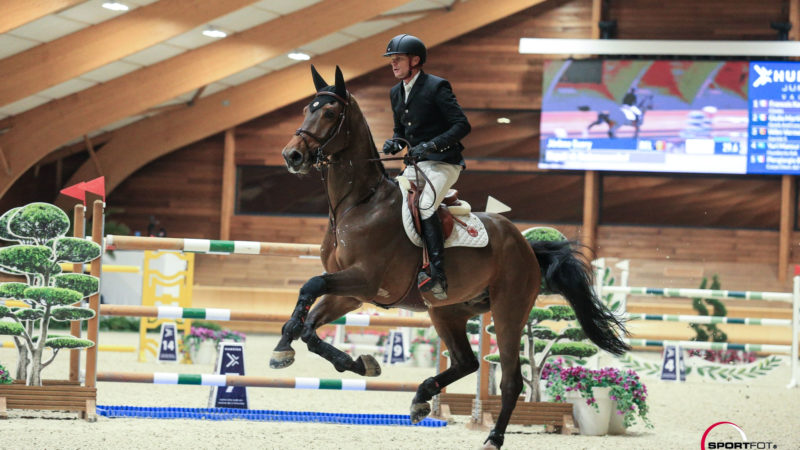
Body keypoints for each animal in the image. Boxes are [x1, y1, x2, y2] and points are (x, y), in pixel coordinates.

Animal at [272, 65, 628, 448]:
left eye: (329, 113)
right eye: (306, 109)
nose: (292, 156)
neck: (356, 204)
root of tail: (525, 245)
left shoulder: (364, 279)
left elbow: (310, 286)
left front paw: (286, 346)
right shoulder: (351, 294)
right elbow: (309, 328)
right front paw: (354, 362)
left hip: (508, 311)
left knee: (511, 380)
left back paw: (492, 437)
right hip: (447, 311)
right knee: (466, 362)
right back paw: (421, 398)